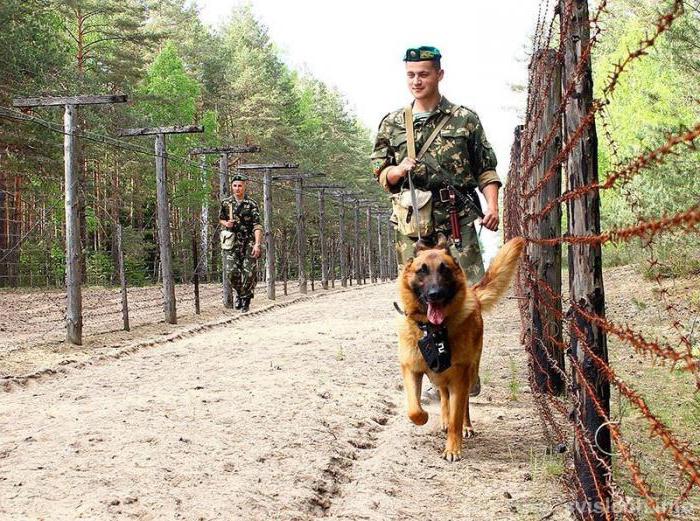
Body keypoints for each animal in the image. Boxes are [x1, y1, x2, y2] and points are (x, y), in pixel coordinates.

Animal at [396, 236, 524, 460]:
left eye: (444, 269)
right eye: (422, 270)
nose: (435, 294)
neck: (434, 330)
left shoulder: (459, 377)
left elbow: (457, 413)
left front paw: (453, 448)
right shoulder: (411, 369)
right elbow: (414, 410)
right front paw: (426, 417)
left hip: (470, 374)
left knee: (463, 406)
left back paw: (466, 427)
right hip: (442, 377)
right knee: (444, 396)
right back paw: (444, 419)